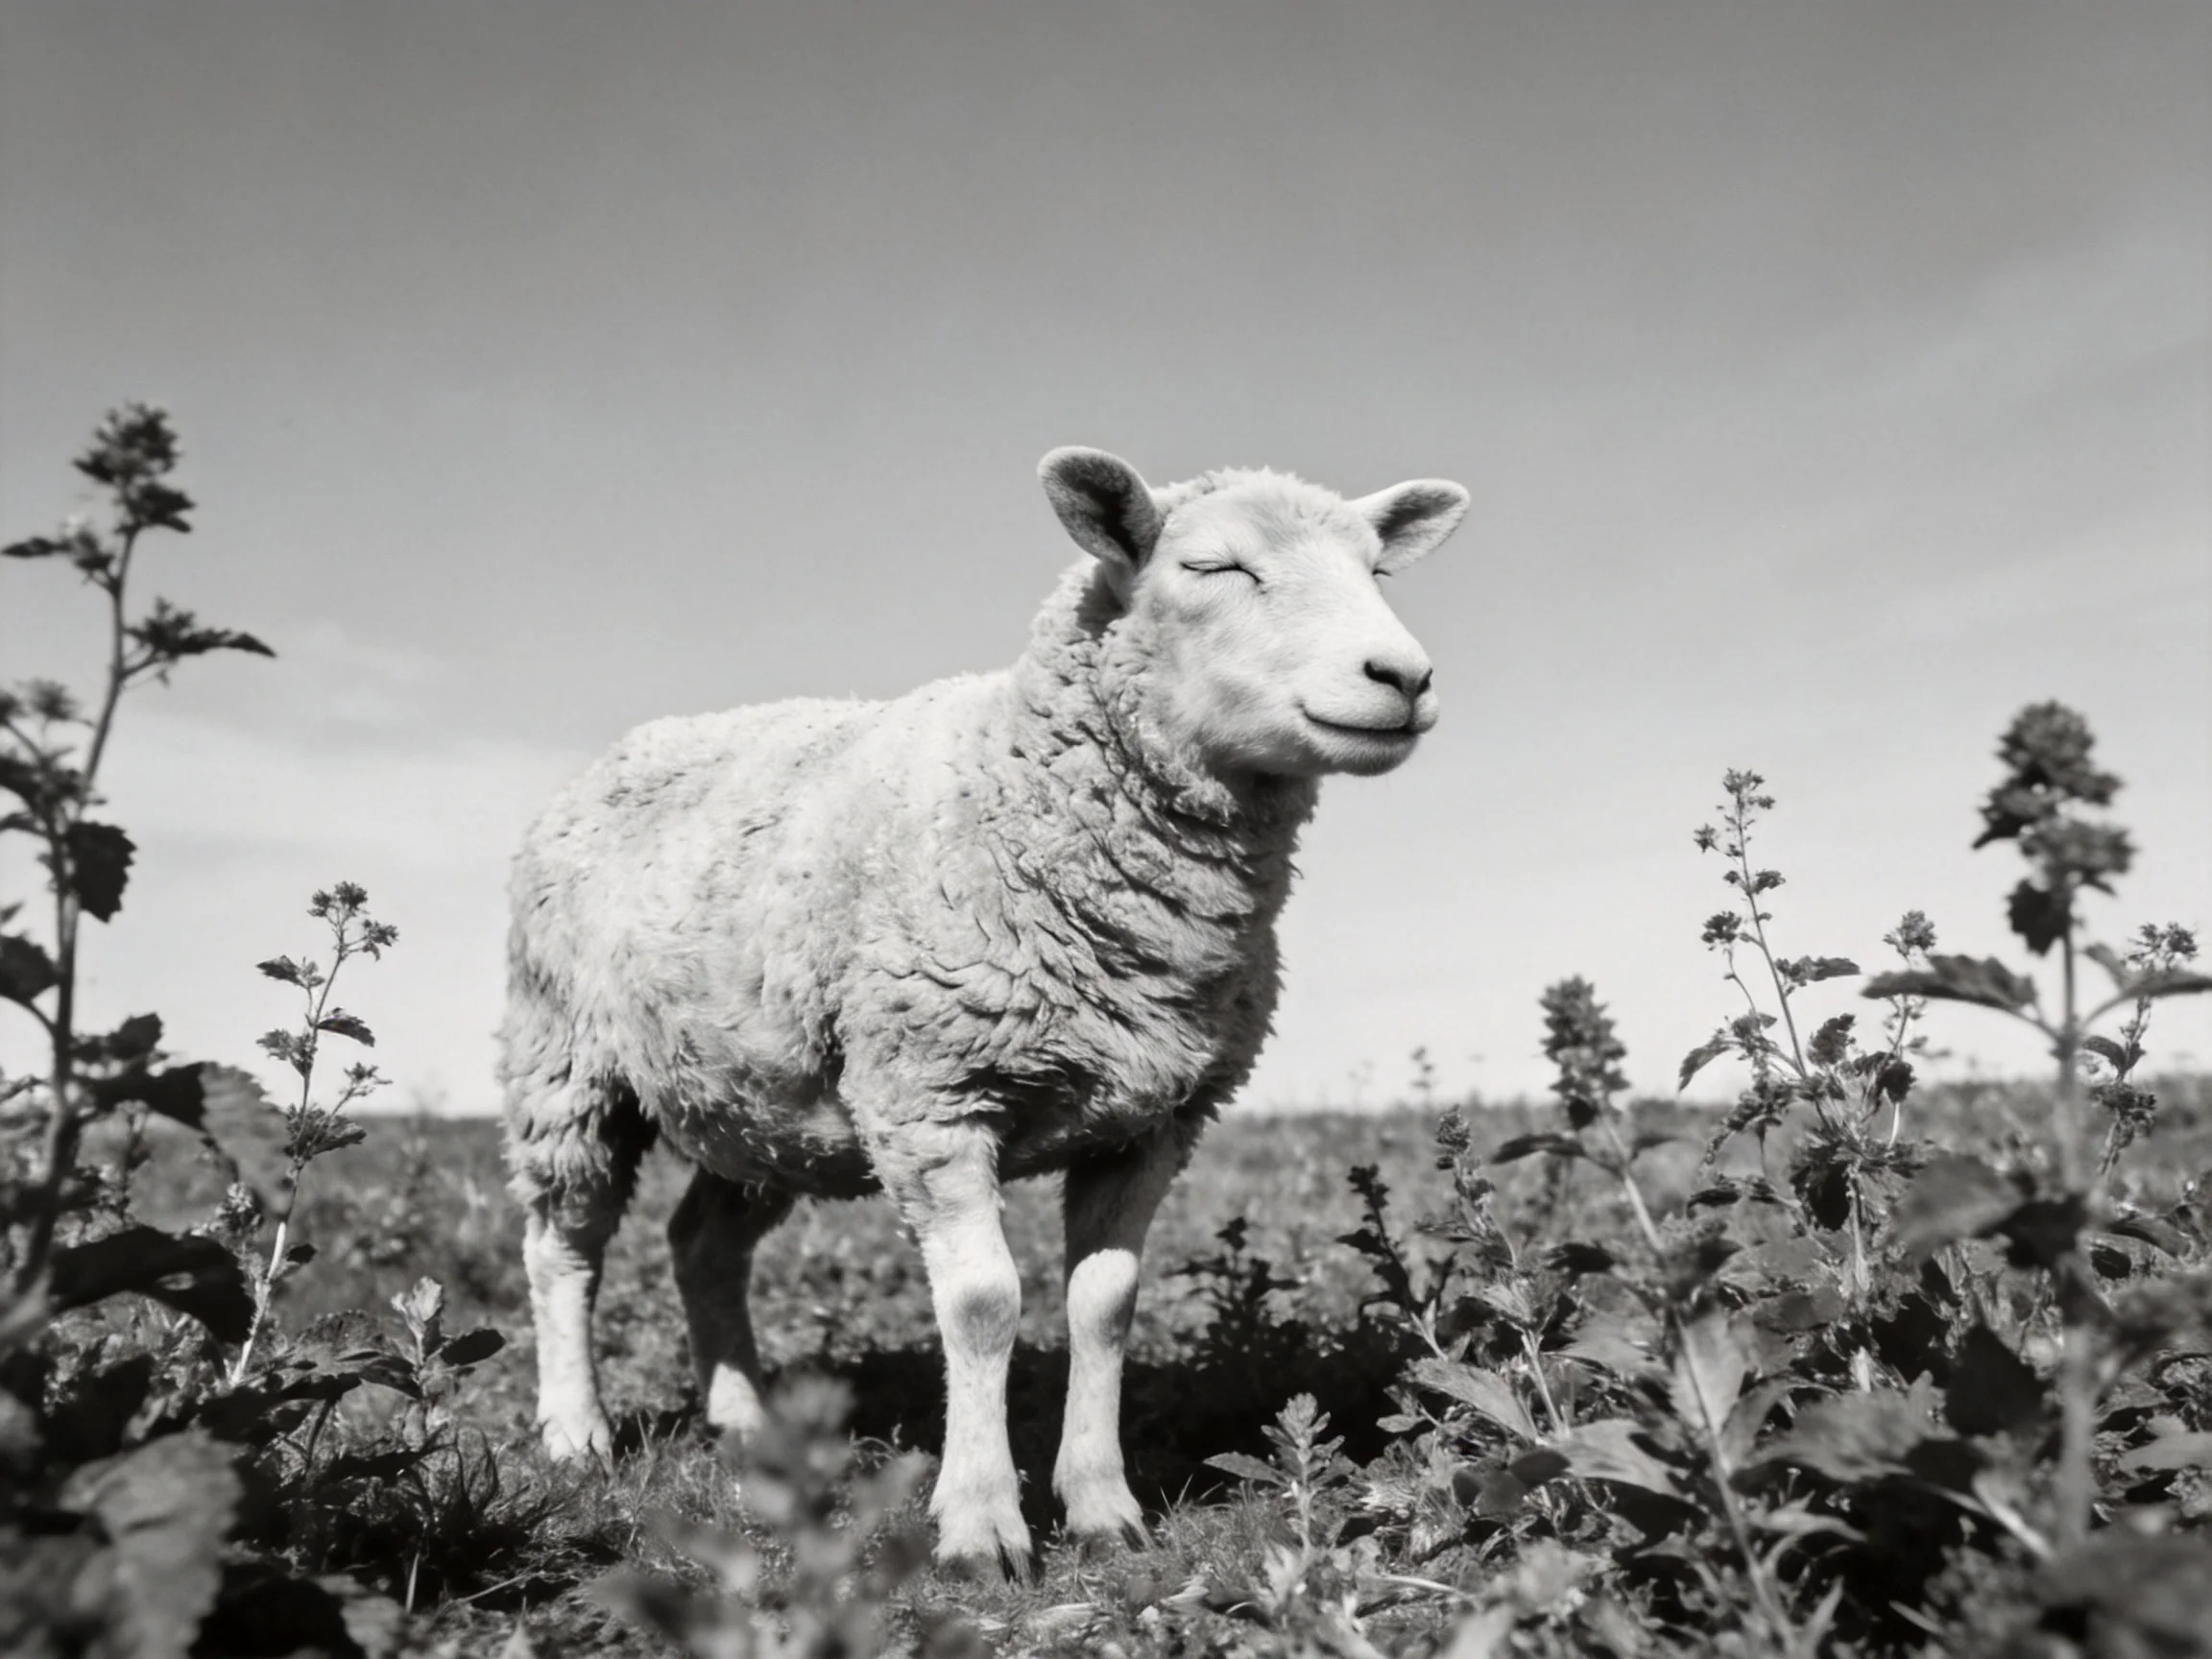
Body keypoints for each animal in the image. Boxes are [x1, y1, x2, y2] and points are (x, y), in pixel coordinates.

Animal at [499, 446, 1469, 1576]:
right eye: (1216, 567)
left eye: (1377, 571)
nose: (1403, 678)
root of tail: (632, 745)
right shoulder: (931, 1096)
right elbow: (982, 1304)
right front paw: (979, 1525)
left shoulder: (1153, 1118)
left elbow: (1104, 1305)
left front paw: (1102, 1506)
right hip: (565, 1062)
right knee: (562, 1246)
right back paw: (576, 1432)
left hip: (758, 1099)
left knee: (703, 1242)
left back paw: (742, 1422)